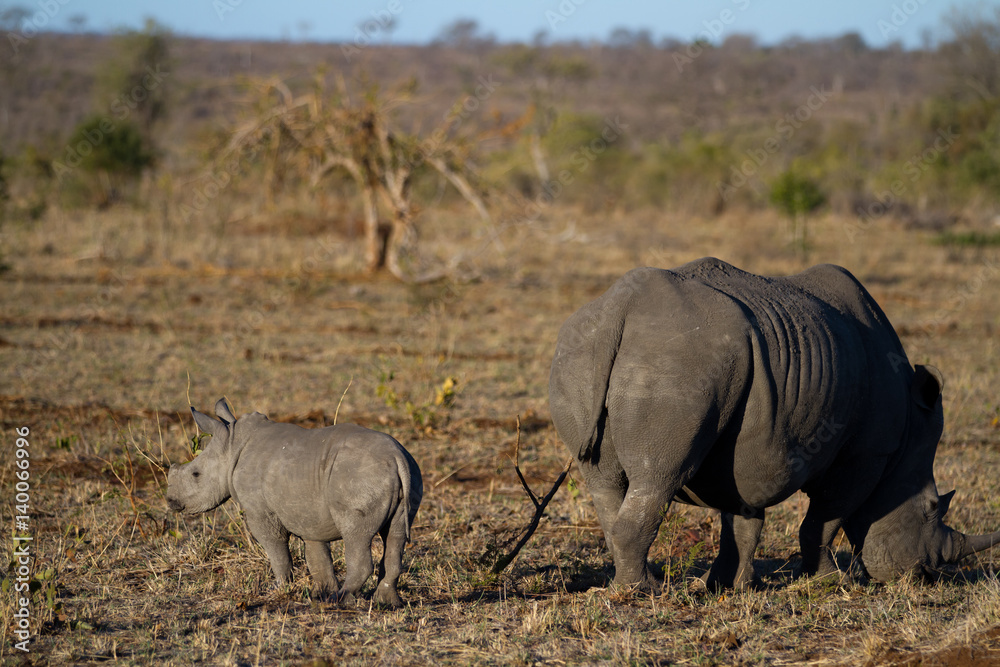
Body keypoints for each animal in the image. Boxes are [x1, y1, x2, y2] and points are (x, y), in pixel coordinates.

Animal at [167, 400, 422, 608]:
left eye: (196, 474)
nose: (170, 501)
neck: (232, 445)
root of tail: (396, 457)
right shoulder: (308, 513)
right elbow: (316, 555)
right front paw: (320, 593)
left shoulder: (261, 512)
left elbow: (275, 547)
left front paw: (279, 588)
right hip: (407, 470)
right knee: (395, 535)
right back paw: (387, 603)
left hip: (359, 476)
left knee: (356, 535)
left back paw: (340, 600)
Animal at [552, 258, 996, 592]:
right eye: (931, 508)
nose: (926, 576)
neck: (905, 441)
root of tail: (620, 306)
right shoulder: (865, 453)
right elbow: (824, 519)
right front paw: (830, 583)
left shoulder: (753, 446)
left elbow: (743, 519)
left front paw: (729, 587)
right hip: (676, 360)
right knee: (658, 477)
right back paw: (646, 591)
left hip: (581, 352)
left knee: (604, 480)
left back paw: (632, 584)